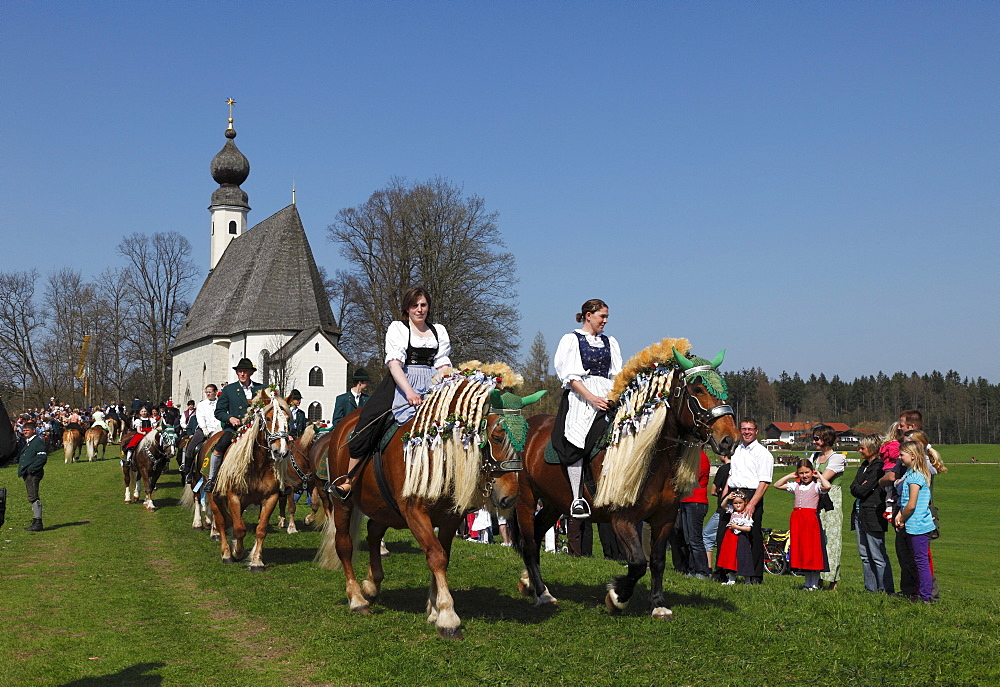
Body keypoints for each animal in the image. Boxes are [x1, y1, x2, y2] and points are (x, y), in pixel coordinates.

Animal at [210, 390, 312, 572]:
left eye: (288, 419)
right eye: (269, 419)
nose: (281, 451)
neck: (257, 465)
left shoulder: (270, 498)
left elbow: (261, 529)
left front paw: (257, 561)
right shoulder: (233, 497)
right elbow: (239, 528)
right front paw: (237, 552)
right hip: (214, 496)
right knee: (221, 523)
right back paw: (227, 553)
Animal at [316, 368, 528, 644]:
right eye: (497, 436)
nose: (510, 497)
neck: (438, 454)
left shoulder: (450, 518)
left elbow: (442, 556)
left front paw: (434, 609)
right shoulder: (414, 512)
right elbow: (436, 556)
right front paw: (447, 617)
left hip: (383, 507)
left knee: (373, 532)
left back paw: (372, 585)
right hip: (344, 503)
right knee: (344, 545)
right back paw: (357, 599)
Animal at [512, 342, 740, 620]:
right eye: (697, 389)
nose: (730, 439)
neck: (653, 458)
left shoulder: (665, 518)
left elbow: (656, 561)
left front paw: (658, 604)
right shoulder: (623, 519)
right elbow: (638, 563)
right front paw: (617, 596)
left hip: (554, 504)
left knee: (534, 536)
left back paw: (530, 583)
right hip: (526, 499)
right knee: (528, 543)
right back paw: (543, 594)